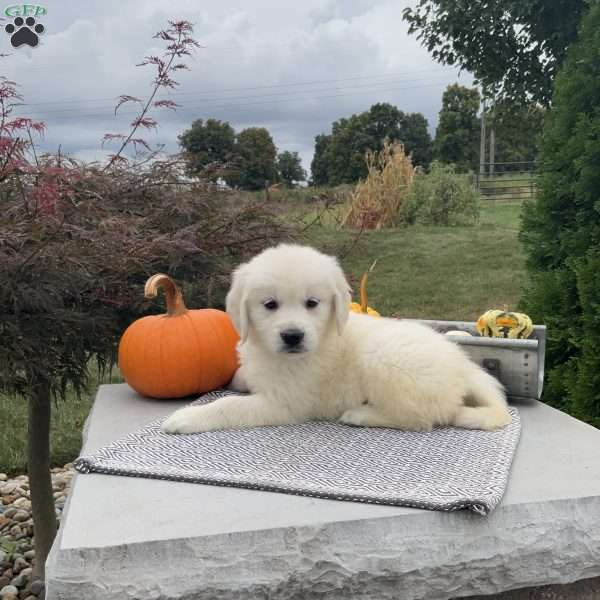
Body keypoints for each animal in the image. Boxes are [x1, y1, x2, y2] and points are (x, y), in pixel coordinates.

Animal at [163, 244, 510, 436]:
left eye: (312, 303)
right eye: (270, 305)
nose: (292, 336)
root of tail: (463, 366)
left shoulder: (287, 403)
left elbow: (228, 404)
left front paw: (186, 417)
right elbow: (241, 378)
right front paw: (239, 377)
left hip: (383, 359)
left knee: (419, 419)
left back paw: (361, 414)